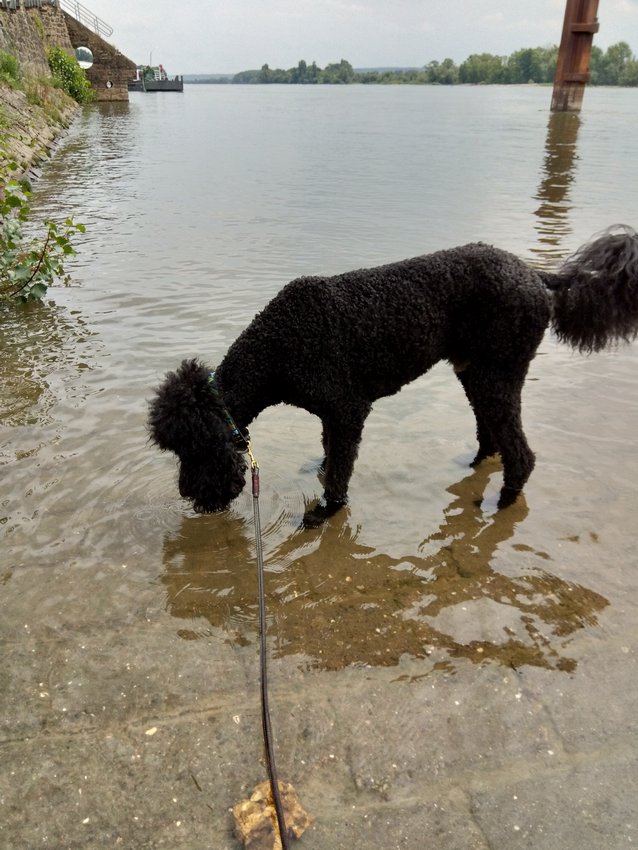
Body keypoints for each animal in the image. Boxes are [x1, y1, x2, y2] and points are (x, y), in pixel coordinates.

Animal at [150, 227, 638, 524]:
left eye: (192, 447)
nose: (191, 496)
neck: (277, 350)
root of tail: (537, 275)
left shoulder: (348, 409)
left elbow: (341, 471)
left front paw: (325, 513)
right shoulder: (332, 415)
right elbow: (331, 455)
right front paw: (320, 473)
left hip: (500, 371)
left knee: (521, 453)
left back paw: (503, 503)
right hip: (476, 372)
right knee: (492, 434)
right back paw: (476, 466)